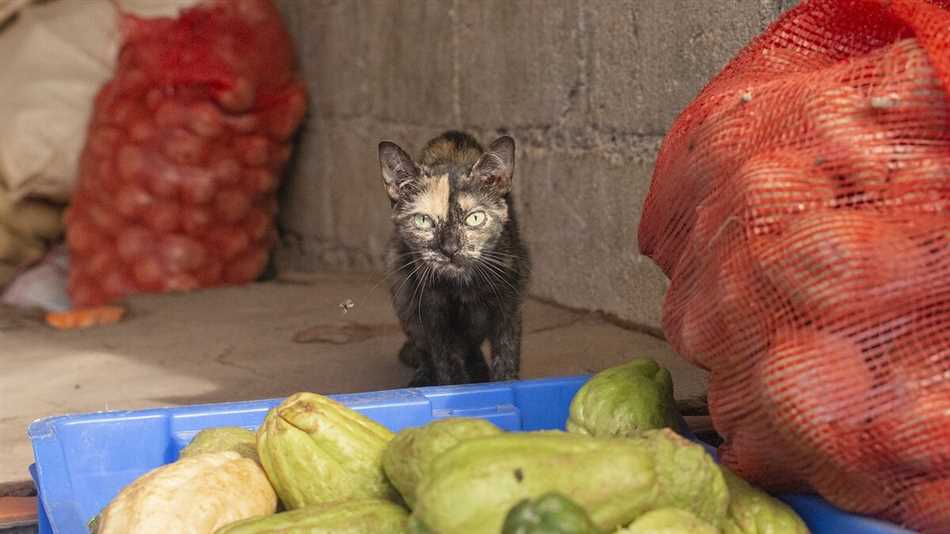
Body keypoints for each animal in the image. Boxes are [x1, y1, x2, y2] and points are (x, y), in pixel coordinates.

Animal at [380, 132, 532, 388]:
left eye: (475, 218)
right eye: (423, 221)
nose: (450, 249)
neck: (464, 285)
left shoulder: (509, 301)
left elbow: (506, 352)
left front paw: (504, 383)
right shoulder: (434, 309)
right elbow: (446, 360)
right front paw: (455, 388)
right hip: (401, 285)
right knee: (424, 349)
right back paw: (423, 378)